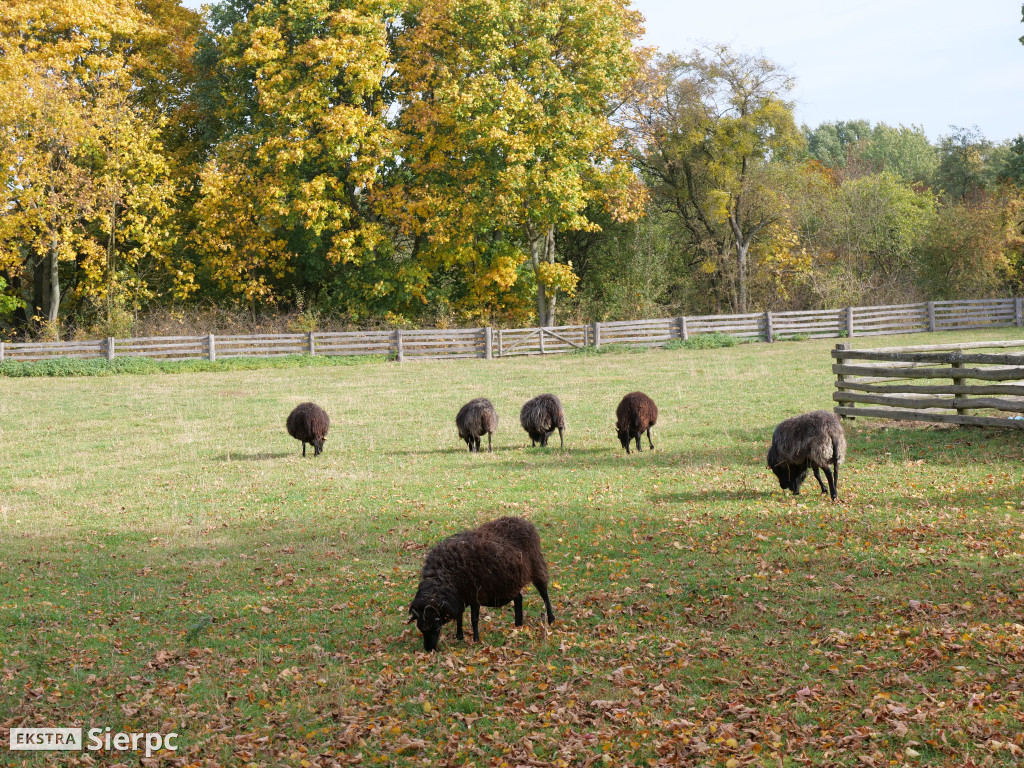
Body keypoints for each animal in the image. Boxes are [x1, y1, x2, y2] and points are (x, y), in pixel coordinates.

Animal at [407, 518, 557, 655]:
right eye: (420, 628)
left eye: (437, 628)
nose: (429, 650)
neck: (444, 575)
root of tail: (525, 521)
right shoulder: (460, 597)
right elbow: (460, 617)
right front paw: (459, 636)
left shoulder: (474, 595)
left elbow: (474, 619)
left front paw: (475, 640)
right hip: (510, 582)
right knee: (519, 598)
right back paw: (518, 624)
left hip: (536, 566)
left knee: (544, 594)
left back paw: (551, 619)